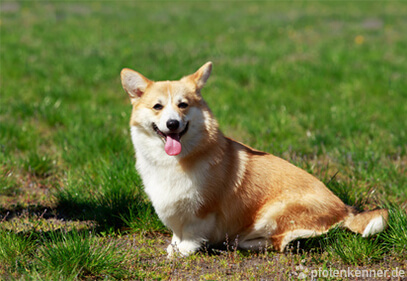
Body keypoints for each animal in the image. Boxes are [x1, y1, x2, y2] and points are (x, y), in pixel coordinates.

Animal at [120, 62, 388, 258]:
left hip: (273, 213)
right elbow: (177, 231)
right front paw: (174, 245)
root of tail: (345, 210)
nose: (173, 123)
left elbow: (192, 233)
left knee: (283, 241)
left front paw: (183, 251)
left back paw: (243, 243)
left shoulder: (202, 210)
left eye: (183, 105)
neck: (177, 161)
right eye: (157, 107)